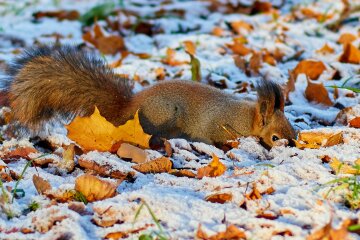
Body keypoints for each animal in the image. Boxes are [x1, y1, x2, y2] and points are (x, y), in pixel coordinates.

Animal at [3, 45, 296, 148]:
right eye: (275, 137)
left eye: (294, 131)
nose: (293, 146)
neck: (246, 116)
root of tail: (126, 109)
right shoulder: (219, 125)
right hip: (163, 114)